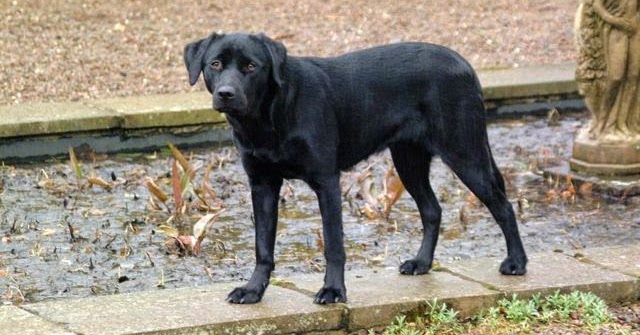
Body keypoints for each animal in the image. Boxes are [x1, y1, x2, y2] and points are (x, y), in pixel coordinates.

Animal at [182, 33, 528, 304]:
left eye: (251, 67)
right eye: (215, 64)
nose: (226, 94)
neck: (267, 118)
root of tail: (465, 63)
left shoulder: (326, 181)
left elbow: (334, 243)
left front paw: (333, 291)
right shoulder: (262, 184)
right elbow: (262, 246)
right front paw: (253, 290)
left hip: (465, 154)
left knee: (503, 206)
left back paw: (516, 263)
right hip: (408, 160)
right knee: (432, 210)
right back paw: (421, 263)